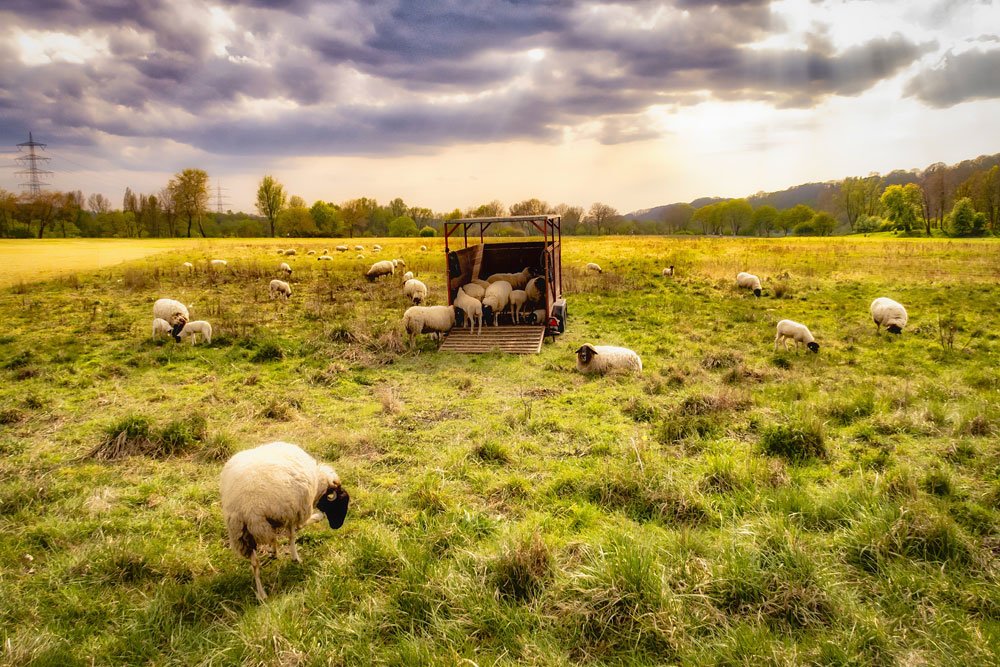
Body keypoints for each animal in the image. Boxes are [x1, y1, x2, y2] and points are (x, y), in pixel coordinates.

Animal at [221, 440, 350, 604]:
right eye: (340, 504)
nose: (337, 526)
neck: (317, 483)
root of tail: (245, 506)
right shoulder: (295, 512)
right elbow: (293, 535)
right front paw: (295, 557)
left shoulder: (276, 518)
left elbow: (275, 538)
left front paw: (274, 552)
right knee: (258, 561)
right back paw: (263, 593)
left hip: (241, 532)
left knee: (254, 563)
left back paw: (261, 593)